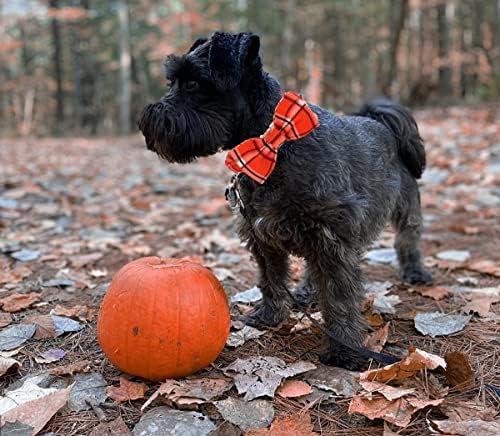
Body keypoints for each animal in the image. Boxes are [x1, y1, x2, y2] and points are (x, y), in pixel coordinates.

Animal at [138, 31, 434, 372]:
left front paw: (344, 349)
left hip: (405, 207)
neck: (271, 143)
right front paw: (270, 315)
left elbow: (339, 297)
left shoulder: (333, 240)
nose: (148, 120)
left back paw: (415, 273)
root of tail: (381, 121)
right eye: (172, 82)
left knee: (408, 240)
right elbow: (271, 279)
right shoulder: (264, 236)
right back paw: (306, 291)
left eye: (194, 83)